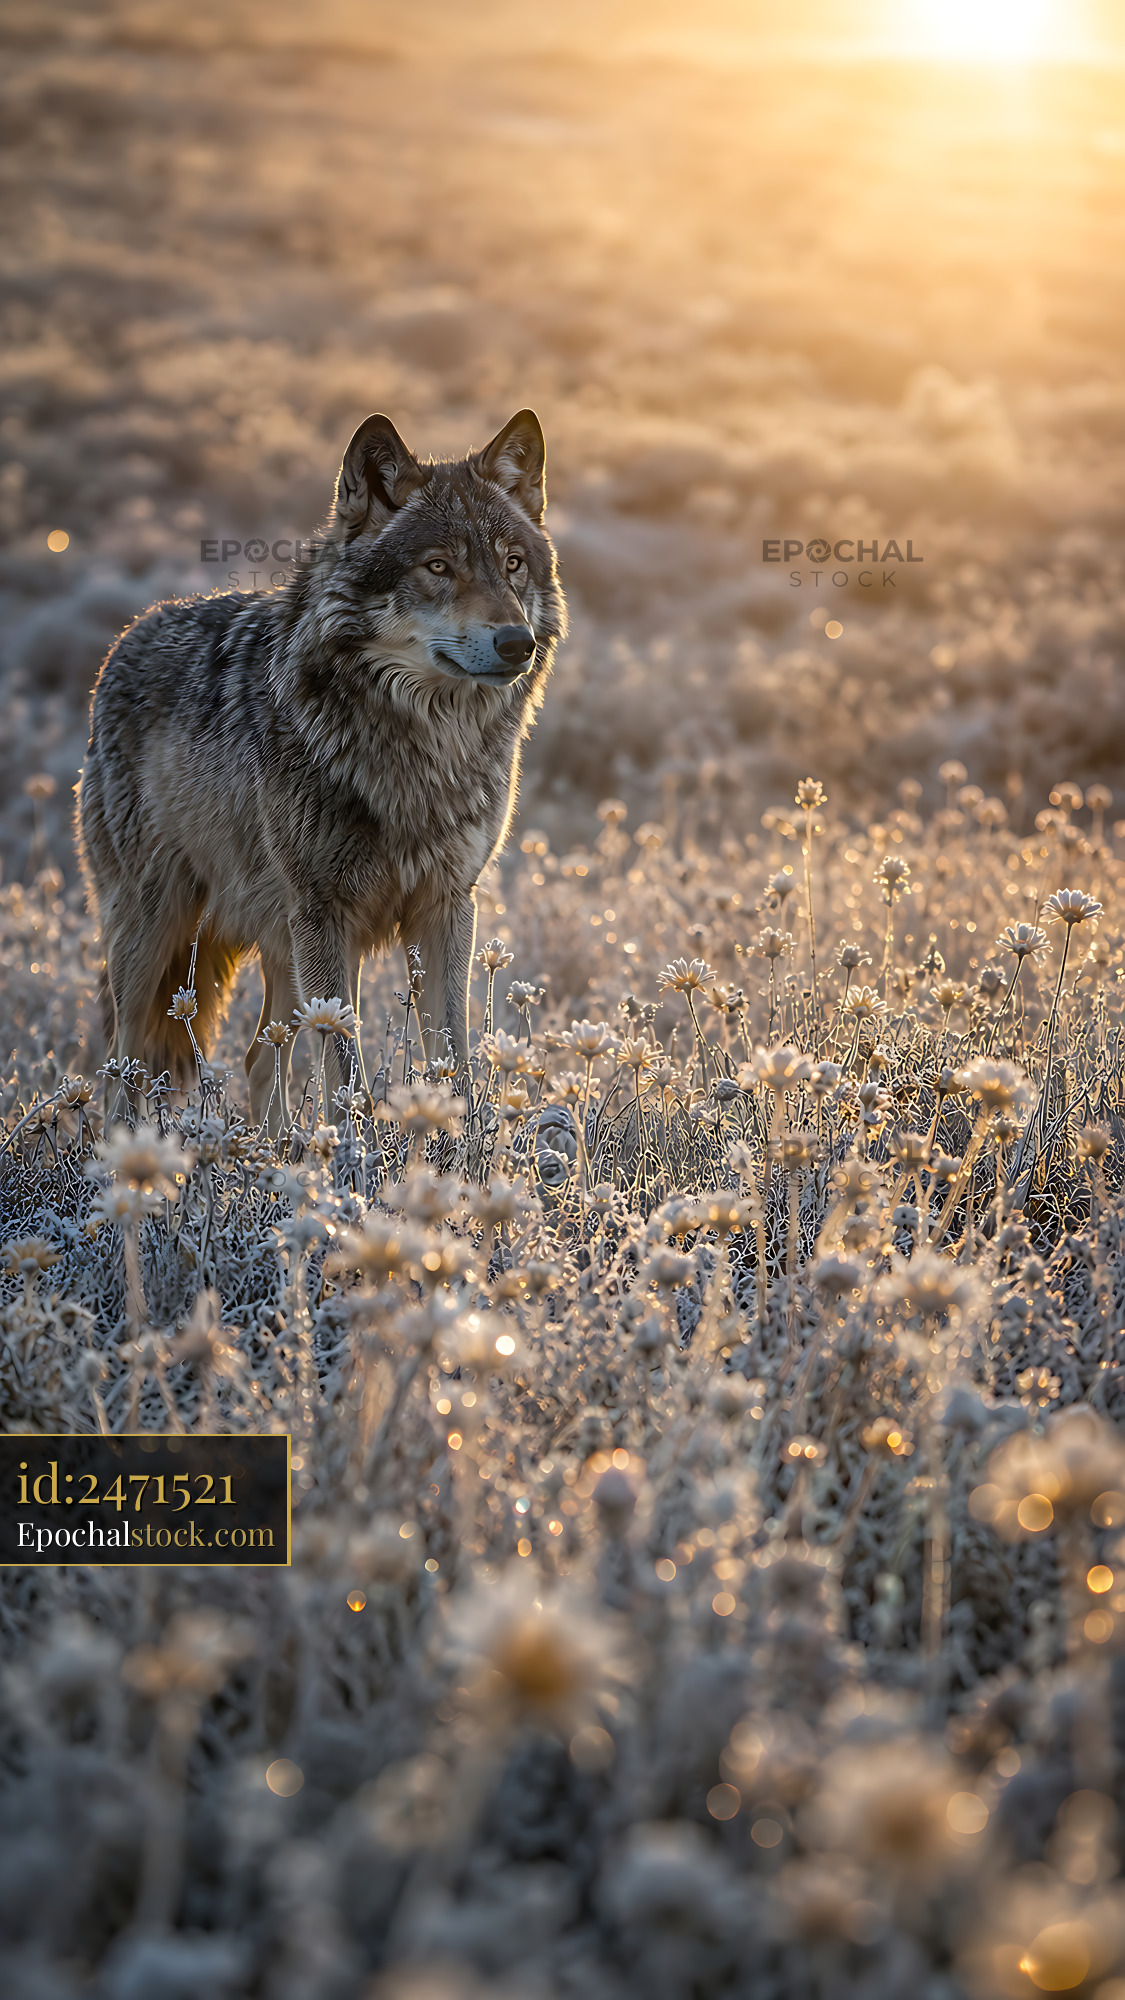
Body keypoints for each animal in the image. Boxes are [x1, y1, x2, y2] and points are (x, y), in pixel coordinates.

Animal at [77, 409, 566, 1129]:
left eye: (512, 565)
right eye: (438, 566)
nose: (517, 643)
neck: (421, 749)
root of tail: (126, 636)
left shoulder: (446, 904)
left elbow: (452, 1062)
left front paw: (454, 1153)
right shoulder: (323, 910)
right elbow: (344, 1077)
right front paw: (354, 1158)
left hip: (282, 945)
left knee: (261, 1055)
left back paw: (272, 1150)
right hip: (159, 931)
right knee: (123, 1065)